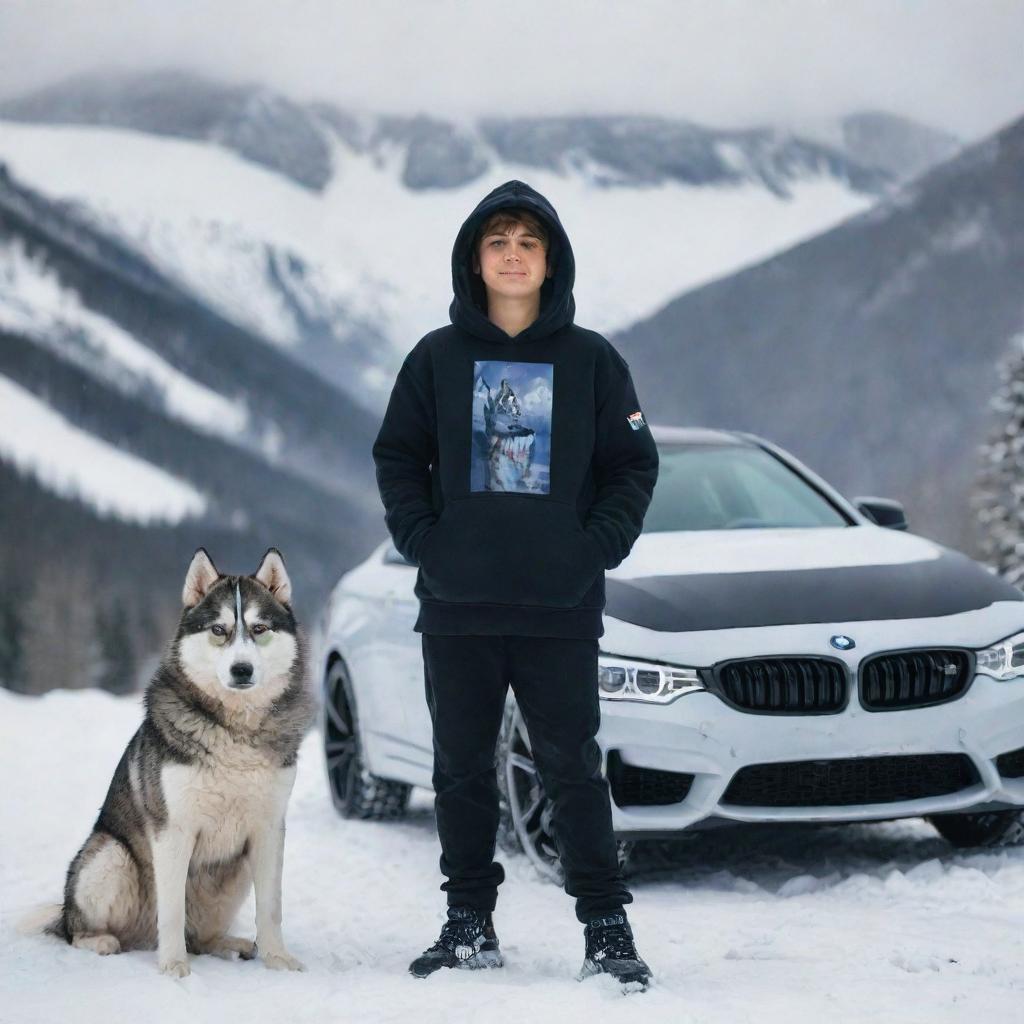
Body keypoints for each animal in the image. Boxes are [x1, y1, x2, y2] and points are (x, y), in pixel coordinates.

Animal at [37, 548, 313, 970]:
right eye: (219, 630)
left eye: (260, 628)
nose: (242, 669)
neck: (234, 729)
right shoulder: (173, 830)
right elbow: (171, 911)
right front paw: (173, 968)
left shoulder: (268, 830)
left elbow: (270, 907)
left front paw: (278, 959)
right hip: (109, 856)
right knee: (76, 930)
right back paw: (101, 942)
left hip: (233, 872)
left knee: (200, 936)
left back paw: (228, 944)